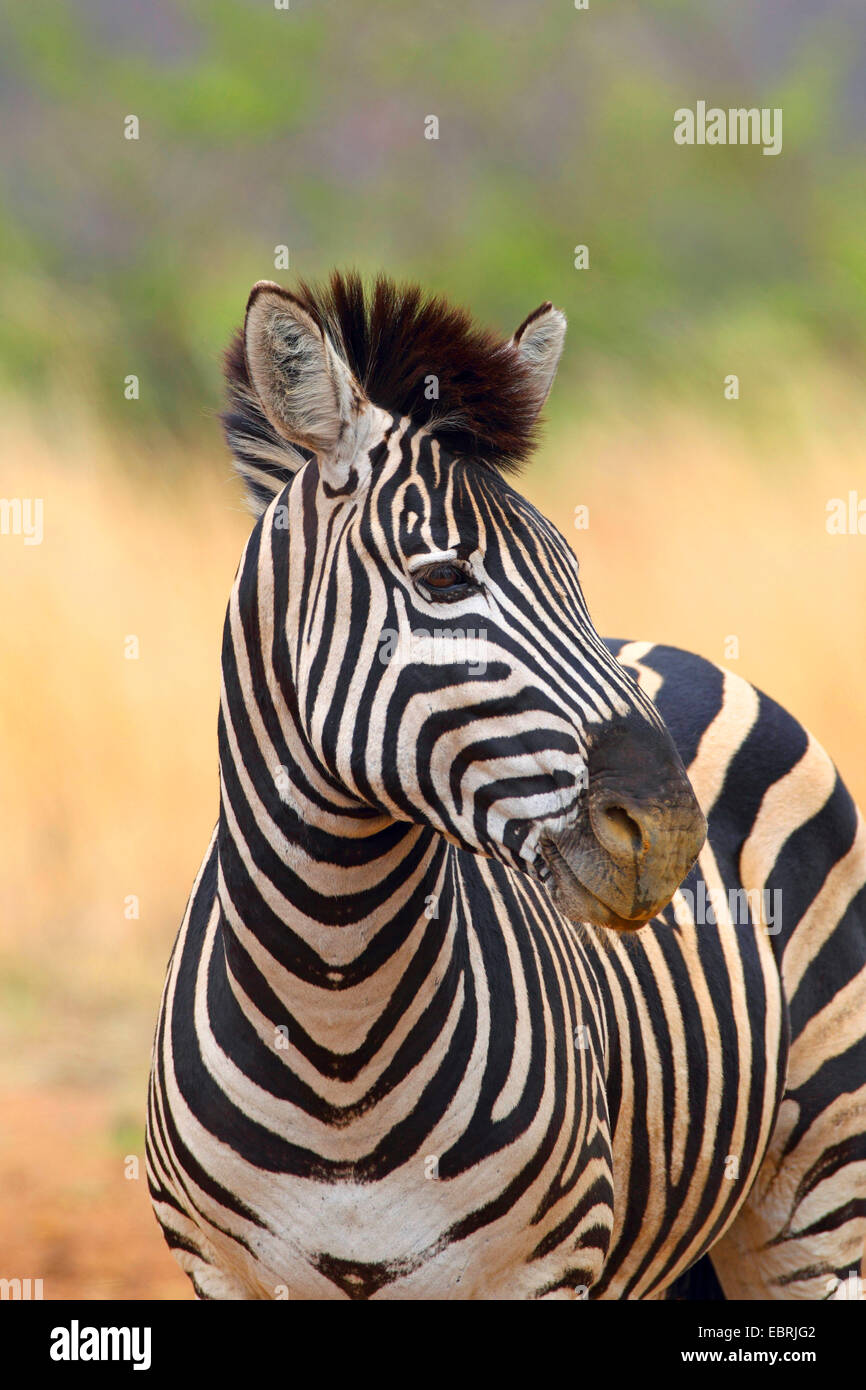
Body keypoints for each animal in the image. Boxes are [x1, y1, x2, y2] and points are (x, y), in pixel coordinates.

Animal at [145, 273, 861, 1301]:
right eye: (445, 579)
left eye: (573, 571)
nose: (671, 835)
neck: (335, 1021)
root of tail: (678, 651)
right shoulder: (226, 1274)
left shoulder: (542, 1269)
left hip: (815, 1197)